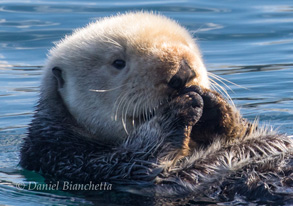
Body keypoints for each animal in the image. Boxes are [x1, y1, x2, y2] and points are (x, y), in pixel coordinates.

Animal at [19, 12, 290, 204]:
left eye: (188, 46)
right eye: (118, 62)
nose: (183, 74)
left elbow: (247, 132)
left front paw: (212, 102)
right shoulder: (76, 163)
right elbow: (141, 162)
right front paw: (180, 108)